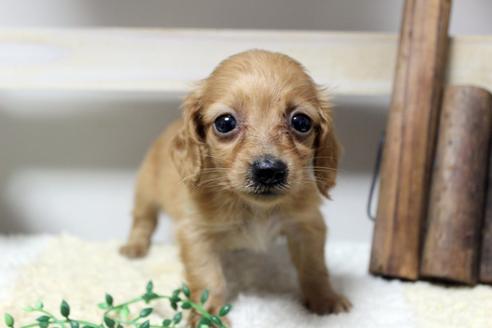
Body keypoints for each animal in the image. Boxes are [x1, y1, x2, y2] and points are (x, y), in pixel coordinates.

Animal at [119, 49, 350, 322]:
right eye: (225, 122)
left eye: (301, 122)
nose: (268, 170)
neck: (255, 209)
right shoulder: (196, 234)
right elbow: (208, 278)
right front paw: (207, 316)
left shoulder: (307, 225)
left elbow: (314, 268)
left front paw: (325, 300)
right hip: (145, 193)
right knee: (143, 221)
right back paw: (134, 247)